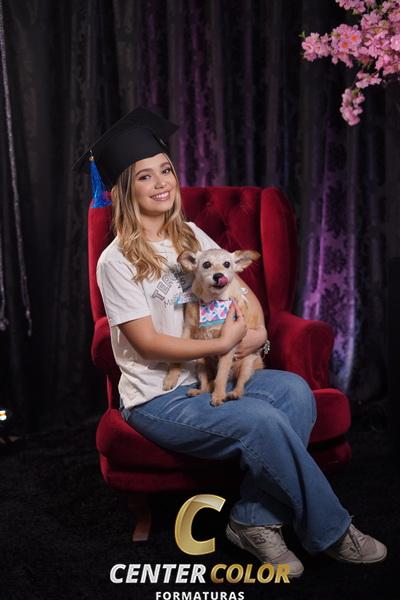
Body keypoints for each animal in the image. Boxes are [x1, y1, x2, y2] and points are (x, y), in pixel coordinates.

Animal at [163, 248, 264, 406]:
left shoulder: (229, 343)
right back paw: (198, 391)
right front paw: (171, 378)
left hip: (247, 364)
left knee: (239, 382)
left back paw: (234, 393)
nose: (218, 275)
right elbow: (177, 359)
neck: (212, 301)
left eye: (227, 264)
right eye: (206, 264)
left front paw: (218, 395)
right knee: (206, 384)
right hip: (200, 363)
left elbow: (221, 373)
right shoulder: (187, 331)